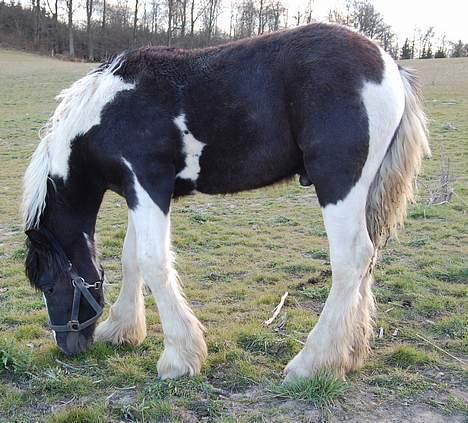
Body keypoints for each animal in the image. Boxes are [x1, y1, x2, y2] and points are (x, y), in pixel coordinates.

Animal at [23, 22, 430, 380]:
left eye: (48, 285)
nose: (67, 346)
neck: (106, 113)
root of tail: (389, 65)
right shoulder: (135, 191)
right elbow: (131, 259)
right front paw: (123, 329)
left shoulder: (148, 184)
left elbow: (153, 262)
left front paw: (179, 358)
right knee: (368, 260)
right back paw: (350, 355)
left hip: (338, 184)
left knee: (351, 259)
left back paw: (312, 364)